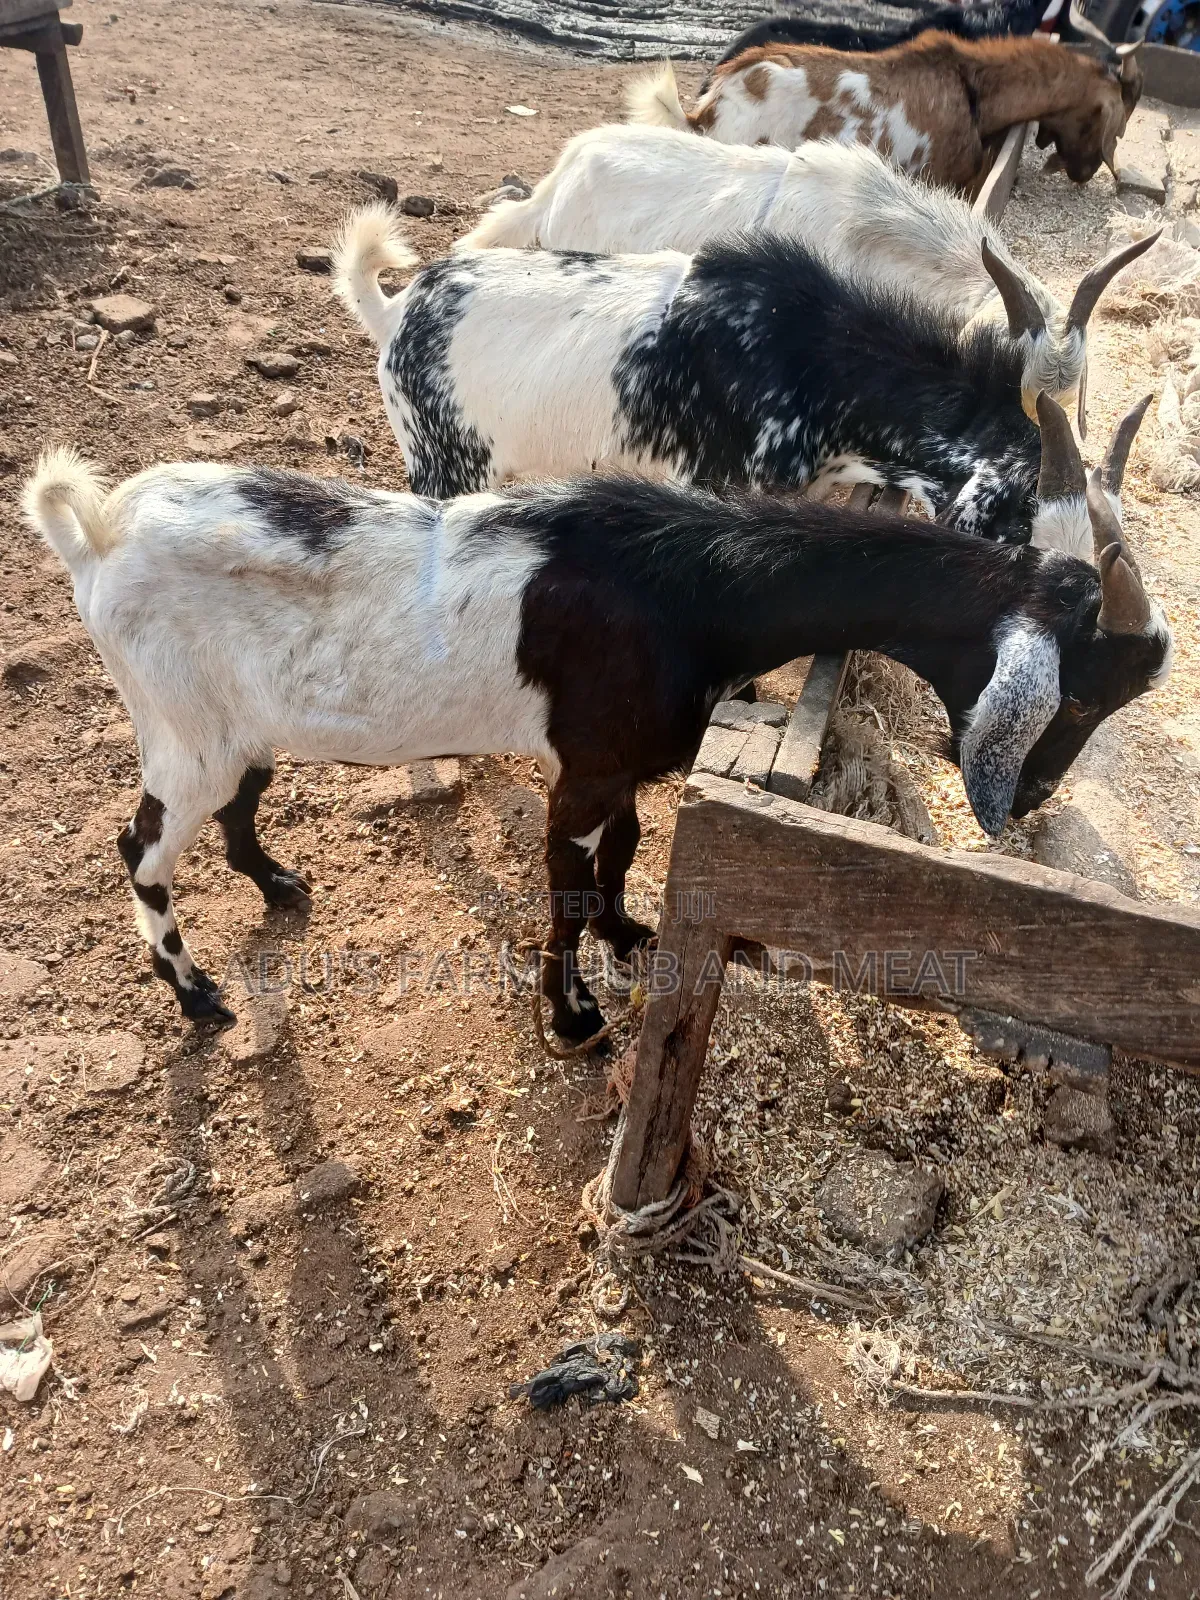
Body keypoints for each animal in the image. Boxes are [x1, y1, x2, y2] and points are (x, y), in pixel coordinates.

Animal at [24, 435, 1170, 1039]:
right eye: (1076, 698)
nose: (1034, 800)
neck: (690, 588)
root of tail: (100, 532)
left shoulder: (621, 767)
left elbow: (624, 852)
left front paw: (630, 934)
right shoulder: (579, 775)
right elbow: (569, 886)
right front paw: (574, 1017)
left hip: (241, 725)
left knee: (242, 804)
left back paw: (278, 885)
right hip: (180, 730)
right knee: (140, 848)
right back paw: (196, 993)